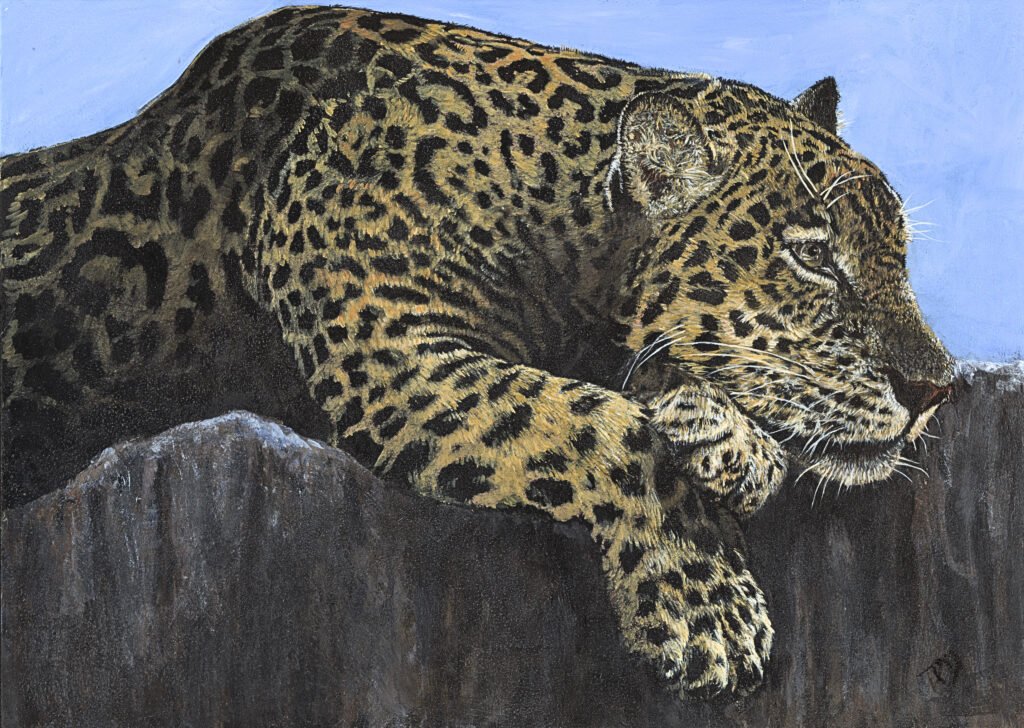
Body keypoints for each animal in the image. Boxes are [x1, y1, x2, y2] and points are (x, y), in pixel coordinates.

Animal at [0, 6, 955, 701]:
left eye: (899, 255)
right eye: (814, 257)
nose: (934, 387)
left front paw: (724, 439)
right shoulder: (392, 347)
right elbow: (595, 418)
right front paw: (707, 608)